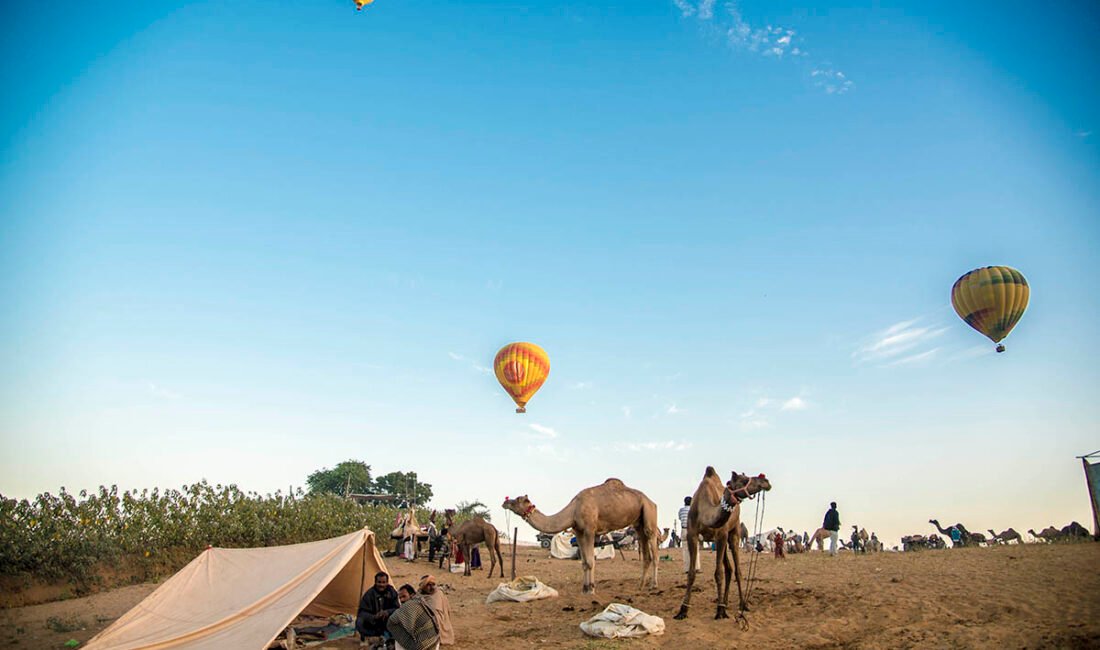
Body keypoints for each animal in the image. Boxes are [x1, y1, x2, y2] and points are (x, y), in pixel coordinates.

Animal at [502, 478, 659, 594]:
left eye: (517, 499)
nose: (505, 501)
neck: (573, 510)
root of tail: (651, 501)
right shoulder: (578, 531)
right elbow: (583, 562)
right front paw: (585, 588)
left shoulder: (590, 530)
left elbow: (590, 561)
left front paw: (591, 589)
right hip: (638, 524)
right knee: (646, 553)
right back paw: (640, 586)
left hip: (649, 514)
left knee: (654, 550)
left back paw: (654, 585)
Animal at [674, 467, 772, 621]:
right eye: (744, 479)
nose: (766, 481)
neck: (705, 510)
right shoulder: (692, 535)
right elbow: (691, 573)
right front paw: (683, 610)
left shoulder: (721, 534)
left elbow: (718, 573)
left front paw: (719, 611)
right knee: (729, 569)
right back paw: (725, 602)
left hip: (734, 532)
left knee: (737, 570)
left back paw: (742, 604)